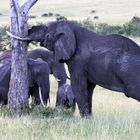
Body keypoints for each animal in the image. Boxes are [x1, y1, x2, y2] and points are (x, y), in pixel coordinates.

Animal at [9, 20, 140, 117]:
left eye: (46, 29)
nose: (28, 30)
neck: (70, 26)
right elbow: (88, 88)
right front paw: (89, 119)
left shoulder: (78, 61)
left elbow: (78, 87)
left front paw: (85, 120)